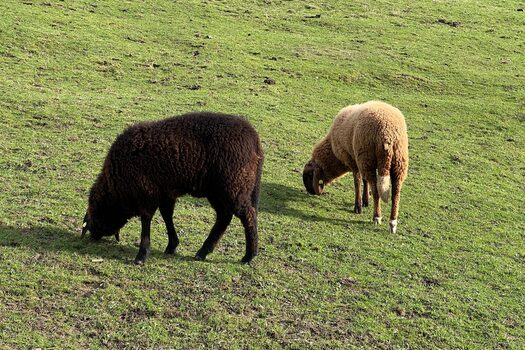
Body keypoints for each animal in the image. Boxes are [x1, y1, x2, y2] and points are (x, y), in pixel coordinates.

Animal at [80, 113, 264, 264]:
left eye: (96, 216)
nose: (93, 237)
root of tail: (255, 139)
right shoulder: (165, 193)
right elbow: (167, 216)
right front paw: (172, 246)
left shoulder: (147, 193)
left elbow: (146, 220)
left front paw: (142, 255)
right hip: (217, 191)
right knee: (224, 216)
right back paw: (203, 252)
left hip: (233, 186)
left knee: (247, 214)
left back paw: (249, 256)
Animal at [300, 100, 408, 232]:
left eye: (309, 175)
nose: (310, 192)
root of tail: (388, 133)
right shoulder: (358, 160)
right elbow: (364, 180)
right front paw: (365, 201)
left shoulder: (353, 160)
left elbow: (357, 182)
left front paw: (358, 206)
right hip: (399, 162)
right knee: (396, 193)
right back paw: (393, 222)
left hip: (367, 157)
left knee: (376, 190)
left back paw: (377, 216)